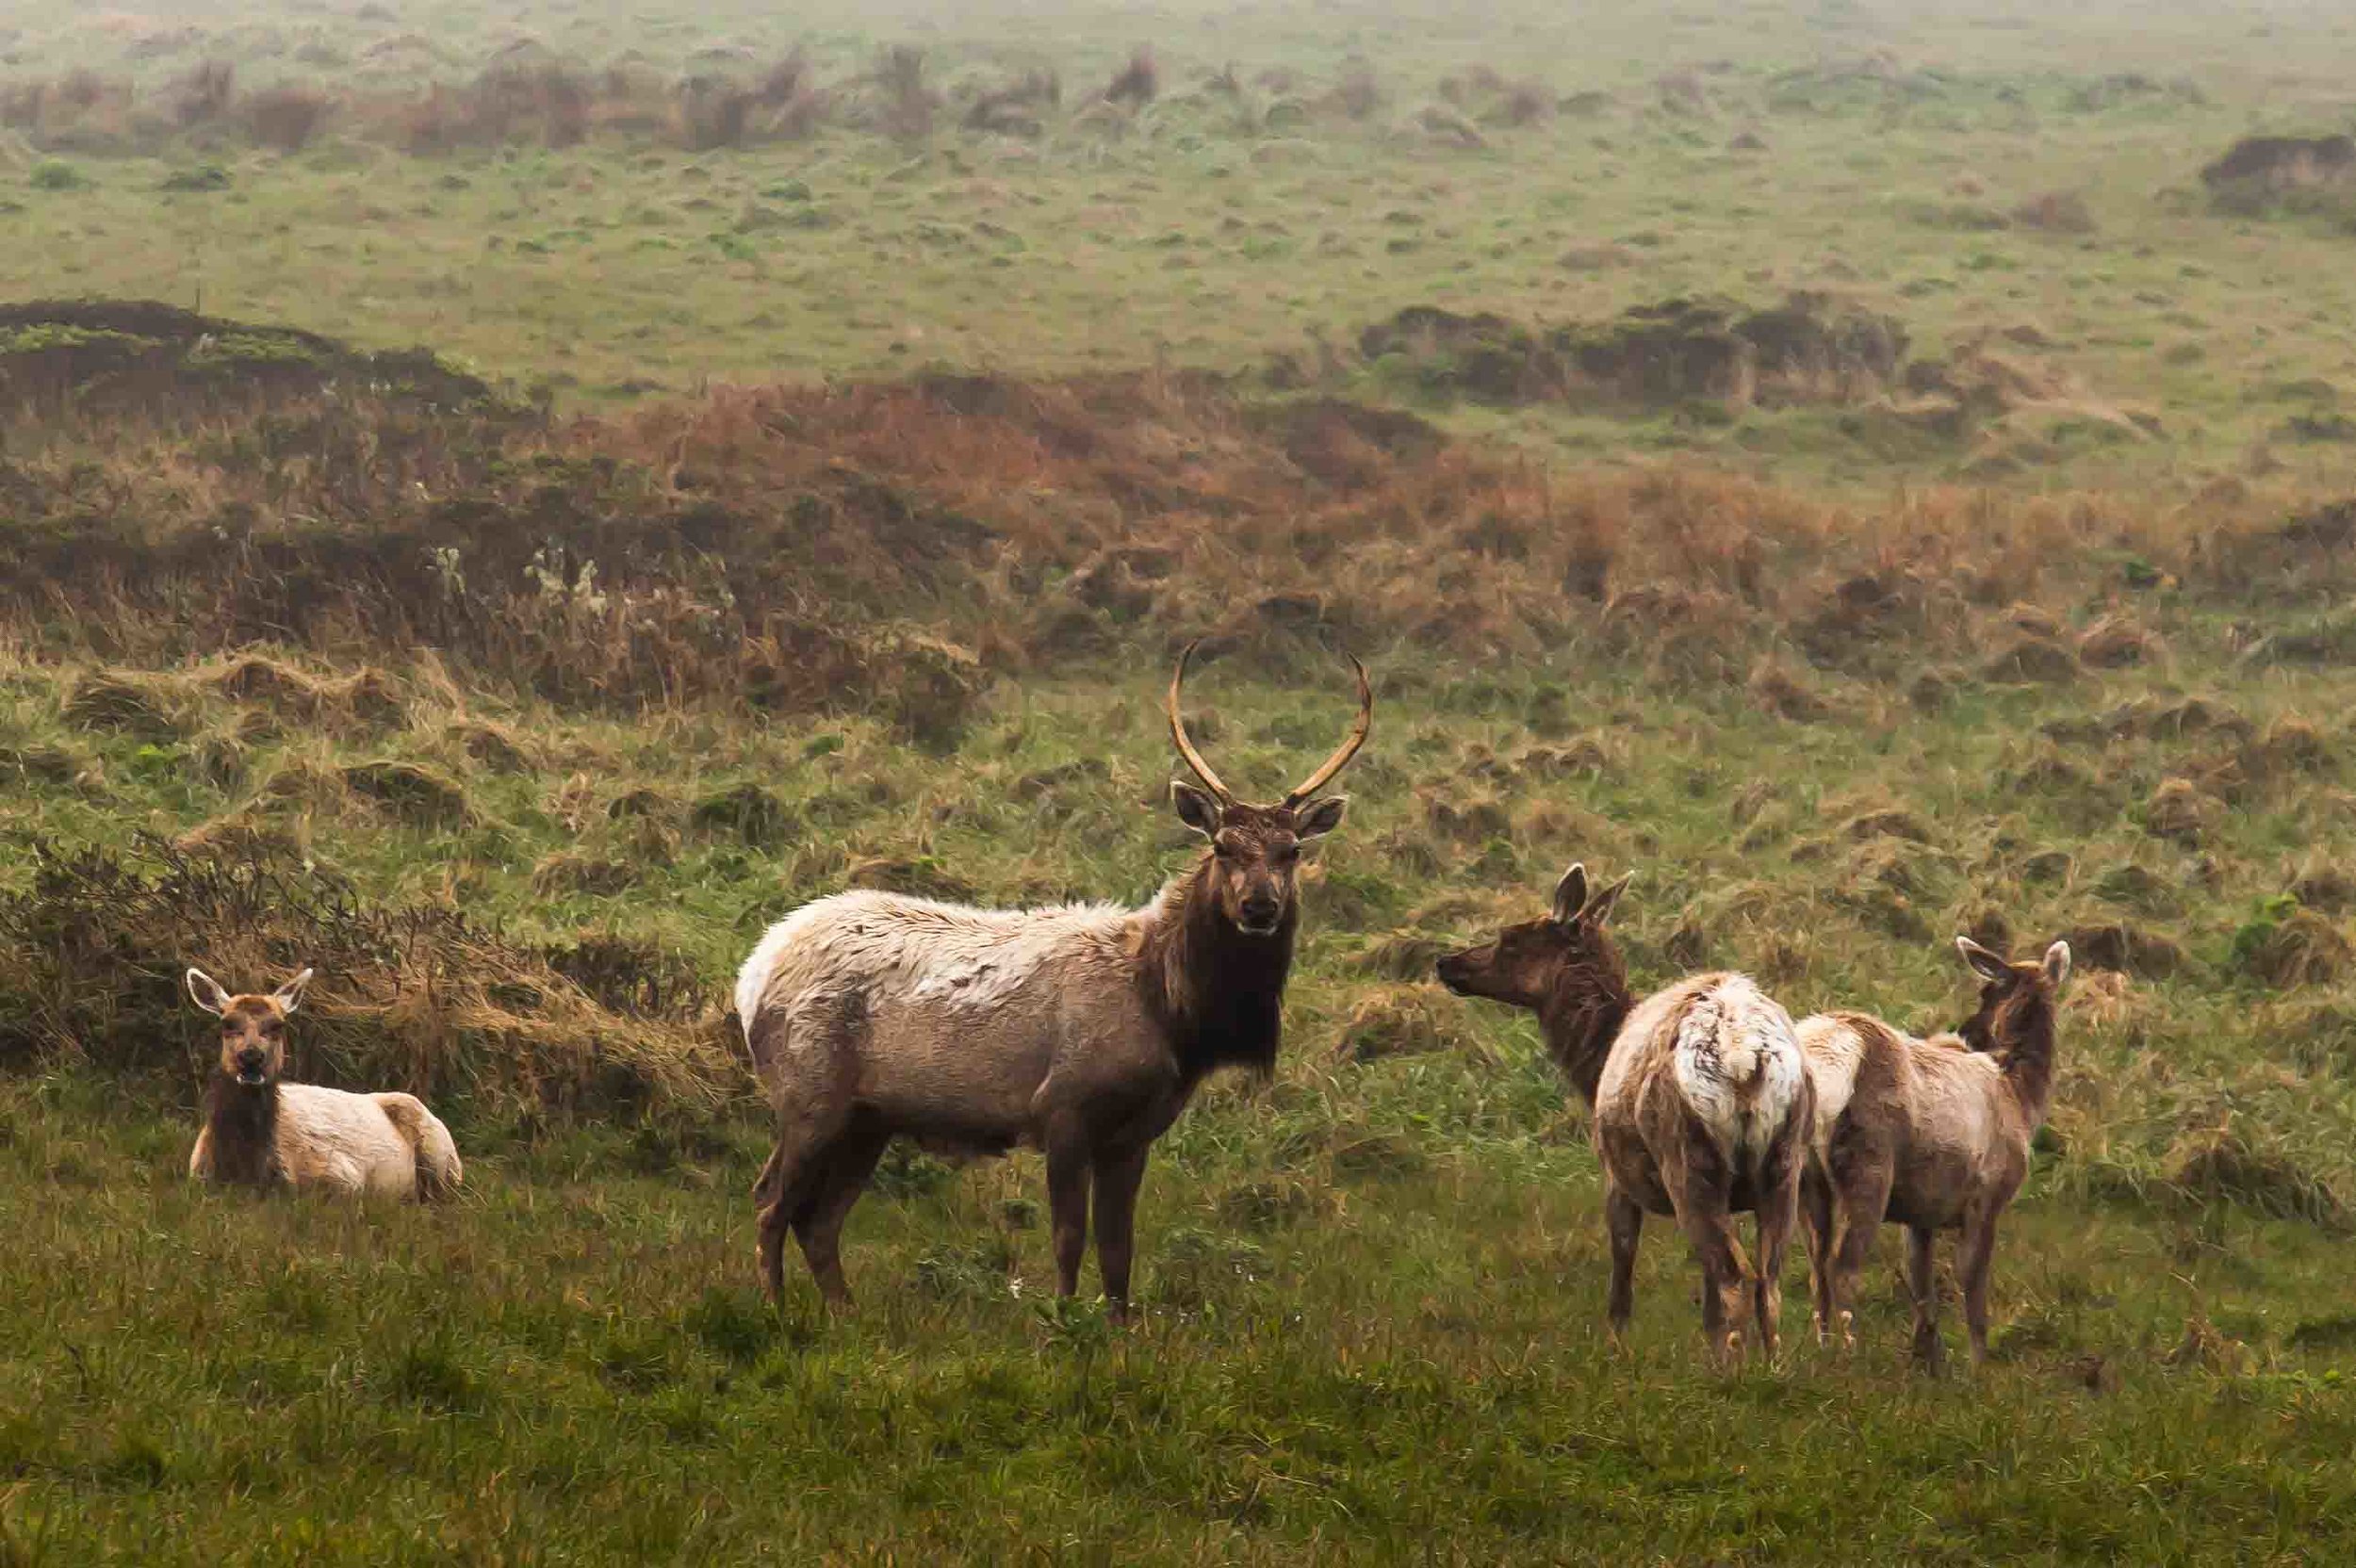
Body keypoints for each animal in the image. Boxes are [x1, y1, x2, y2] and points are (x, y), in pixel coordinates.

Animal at [730, 640, 1366, 1309]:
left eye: (1292, 851)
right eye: (1222, 846)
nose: (1259, 906)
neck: (1169, 1013)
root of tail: (752, 974)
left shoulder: (1134, 1133)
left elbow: (1119, 1252)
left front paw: (1118, 1326)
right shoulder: (1063, 1106)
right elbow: (1068, 1239)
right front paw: (1061, 1320)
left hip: (869, 1118)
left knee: (819, 1221)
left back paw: (844, 1313)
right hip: (809, 1091)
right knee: (770, 1202)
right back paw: (777, 1308)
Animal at [1432, 861, 1800, 1365]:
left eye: (1511, 939)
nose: (1446, 962)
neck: (1595, 1062)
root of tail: (1747, 1060)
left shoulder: (1616, 1174)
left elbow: (1622, 1272)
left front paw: (1614, 1348)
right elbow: (1706, 1300)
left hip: (1686, 1160)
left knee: (1735, 1272)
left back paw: (1732, 1369)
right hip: (1783, 1166)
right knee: (1769, 1279)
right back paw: (1771, 1364)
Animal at [1791, 932, 2073, 1365]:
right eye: (1986, 990)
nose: (1971, 1033)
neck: (2021, 1097)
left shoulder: (1921, 1212)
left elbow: (1923, 1290)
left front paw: (1927, 1357)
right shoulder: (1986, 1197)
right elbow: (1972, 1287)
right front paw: (1978, 1363)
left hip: (1807, 1176)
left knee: (1817, 1266)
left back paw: (1822, 1349)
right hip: (1868, 1164)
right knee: (1843, 1266)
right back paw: (1851, 1353)